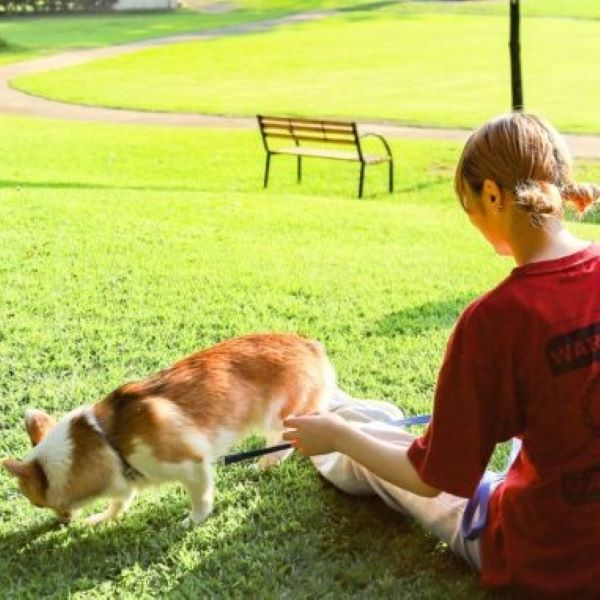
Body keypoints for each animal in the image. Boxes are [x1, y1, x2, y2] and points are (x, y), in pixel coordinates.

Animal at [2, 336, 336, 528]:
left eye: (36, 502)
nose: (61, 525)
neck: (108, 442)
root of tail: (312, 345)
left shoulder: (192, 465)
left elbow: (201, 499)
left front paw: (192, 521)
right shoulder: (127, 482)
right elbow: (118, 503)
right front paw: (101, 519)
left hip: (281, 415)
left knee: (285, 440)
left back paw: (268, 461)